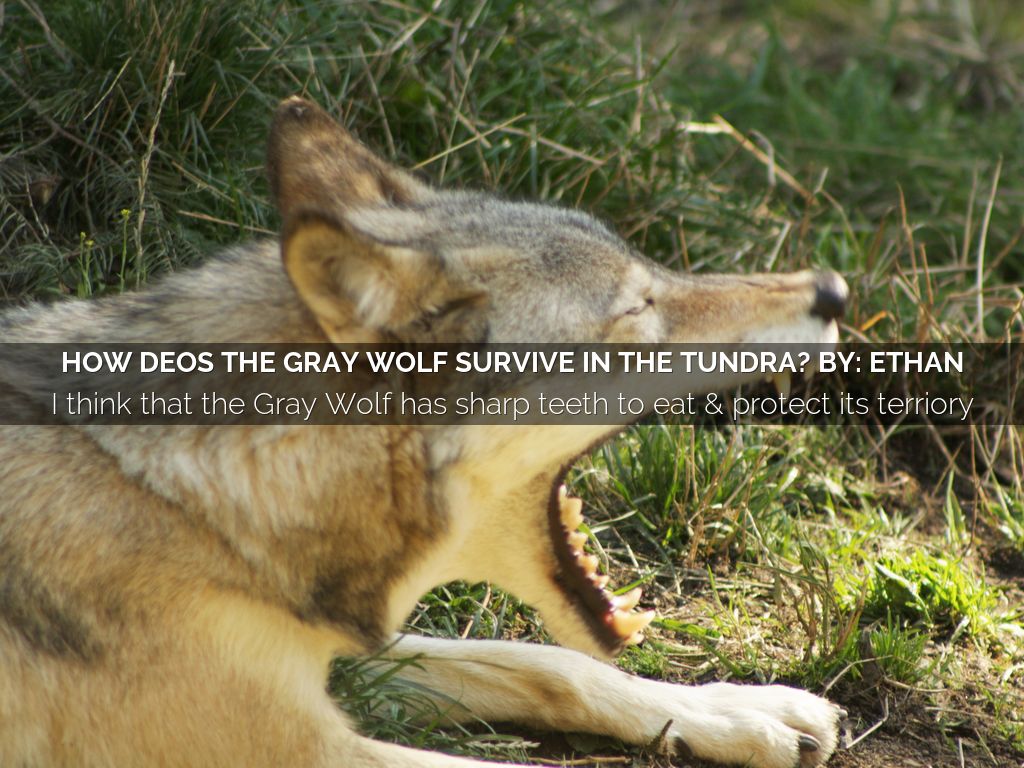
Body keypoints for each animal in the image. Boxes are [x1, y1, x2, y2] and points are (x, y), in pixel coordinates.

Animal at [0, 97, 847, 768]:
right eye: (639, 310)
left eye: (658, 273)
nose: (833, 289)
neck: (197, 504)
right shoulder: (298, 745)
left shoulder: (340, 657)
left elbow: (553, 664)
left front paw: (739, 709)